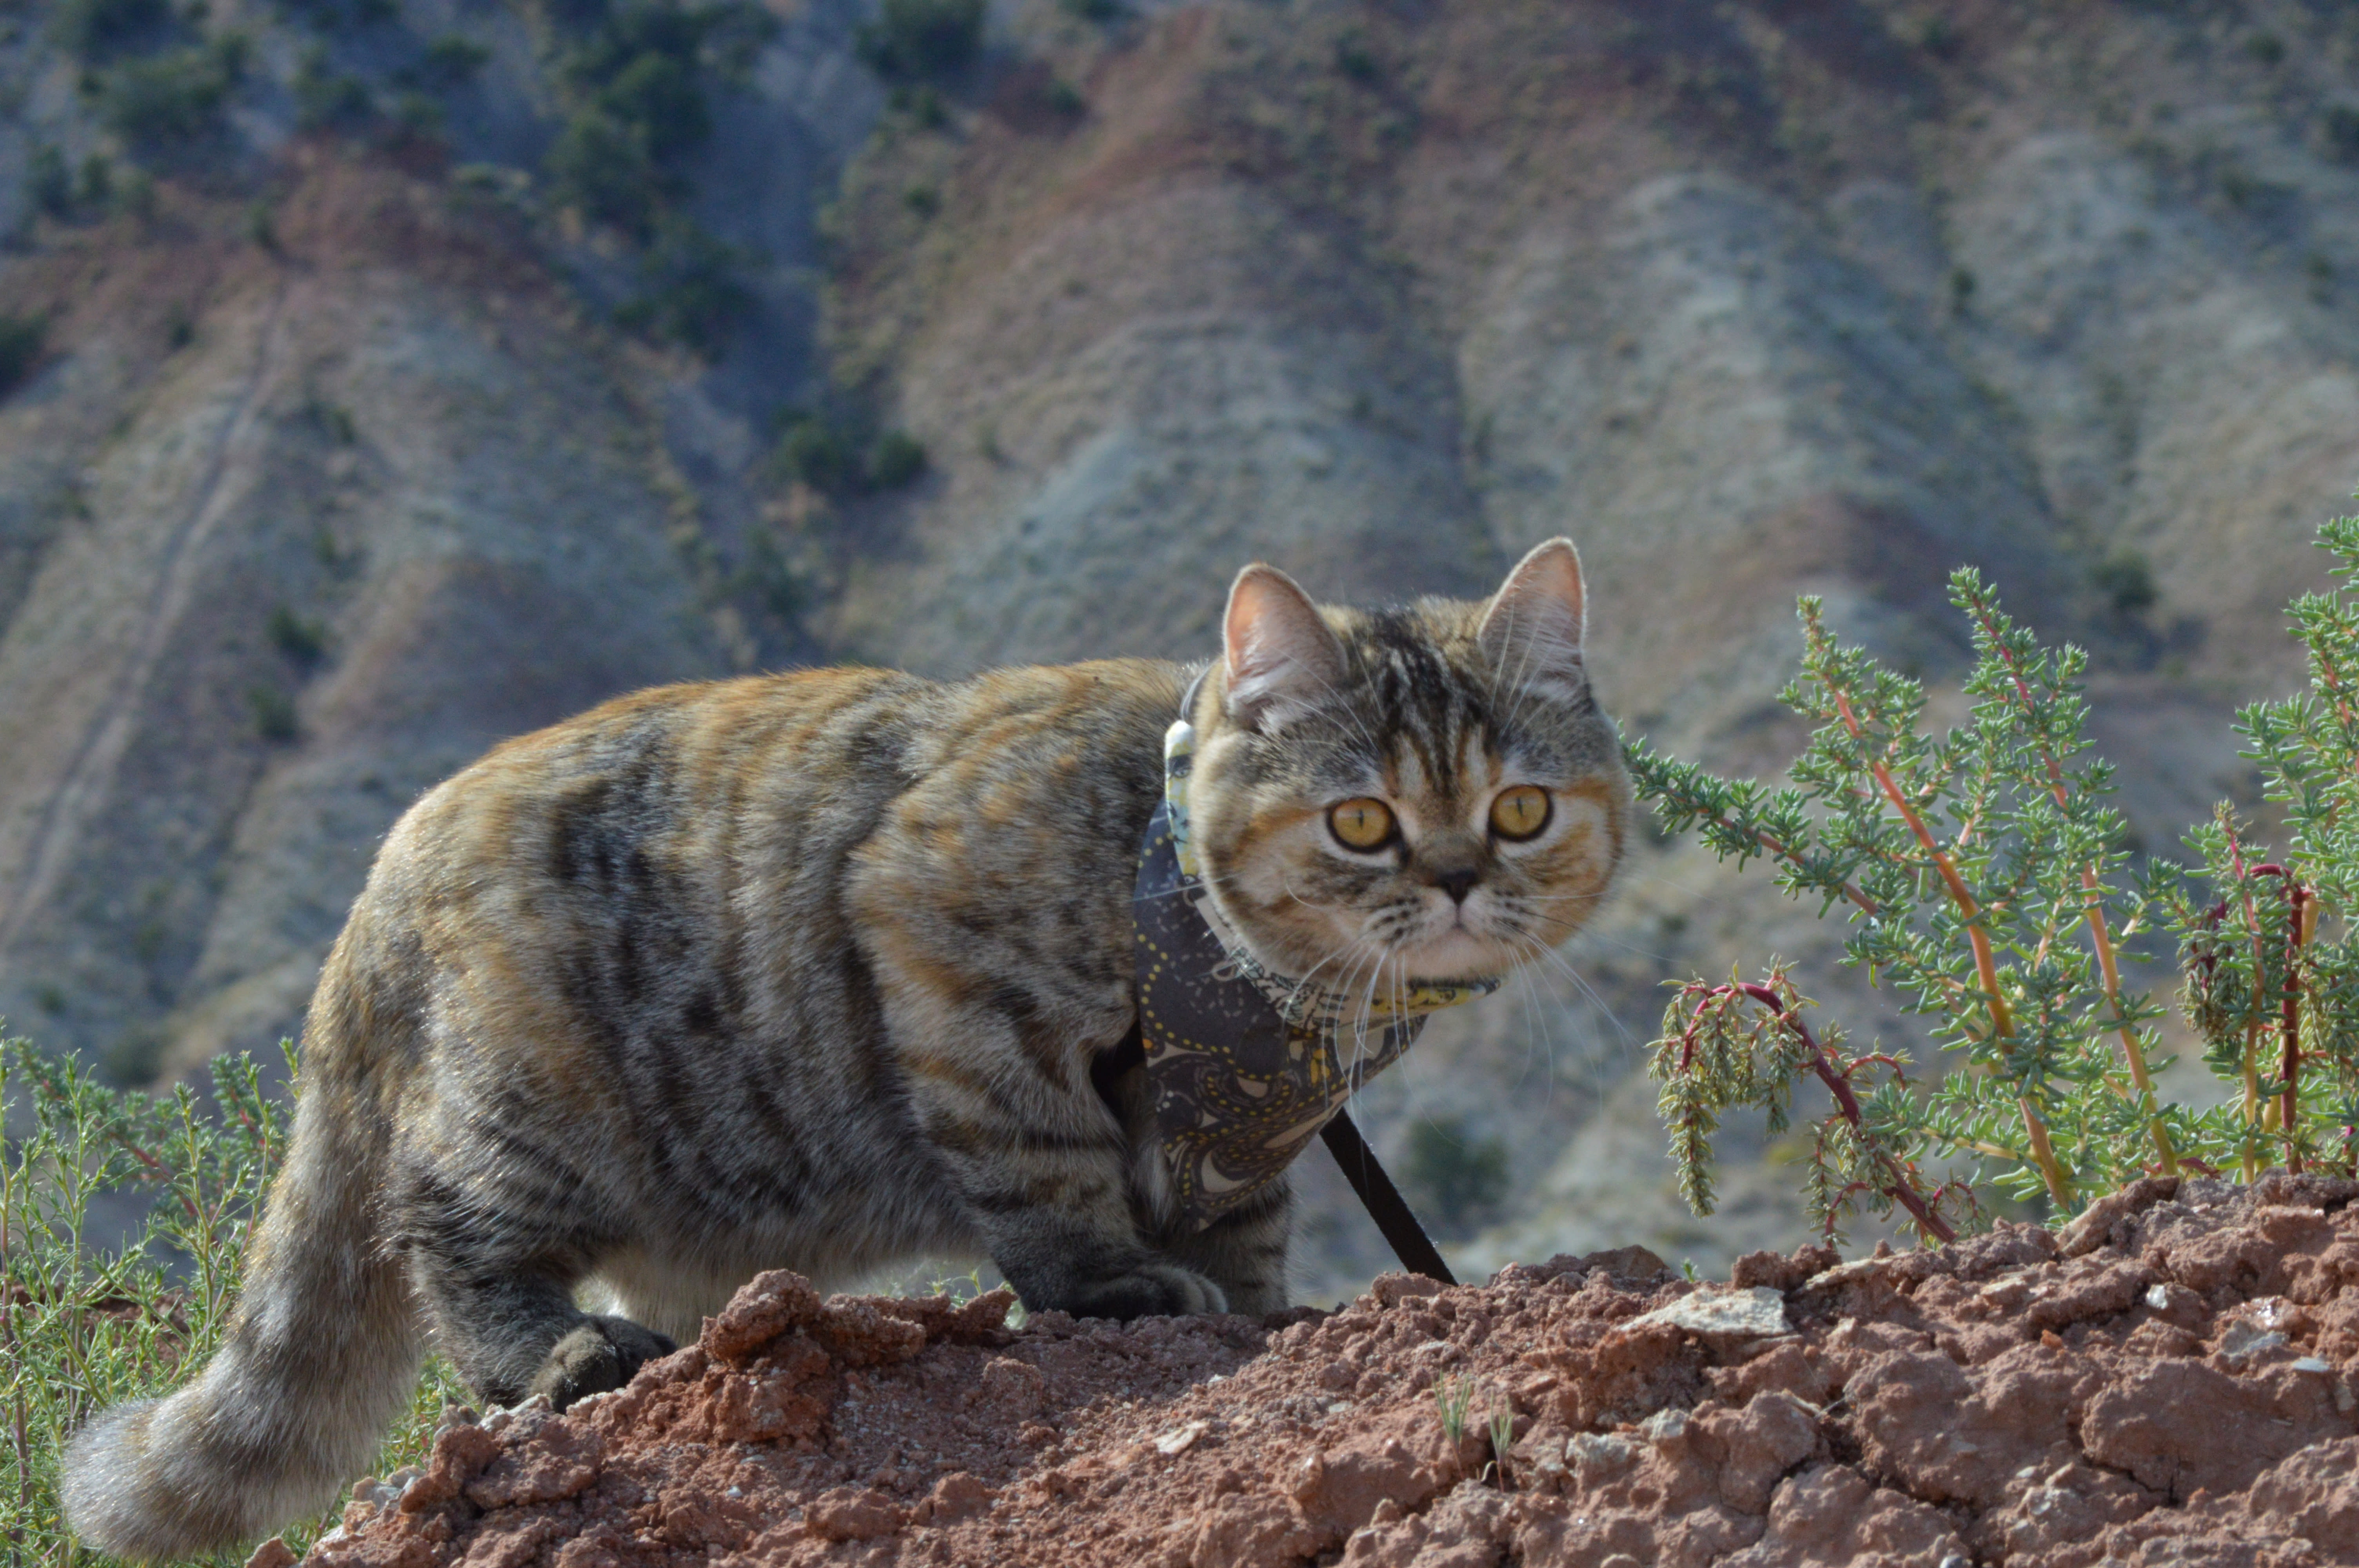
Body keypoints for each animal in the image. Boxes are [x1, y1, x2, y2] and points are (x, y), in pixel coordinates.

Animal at [64, 537, 1632, 1556]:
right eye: (1359, 820)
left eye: (1519, 810)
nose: (1453, 879)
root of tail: (397, 851)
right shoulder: (935, 935)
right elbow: (1044, 1160)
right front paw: (1115, 1286)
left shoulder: (1249, 1134)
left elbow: (1243, 1230)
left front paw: (1260, 1308)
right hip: (534, 1097)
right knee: (447, 1235)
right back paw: (560, 1349)